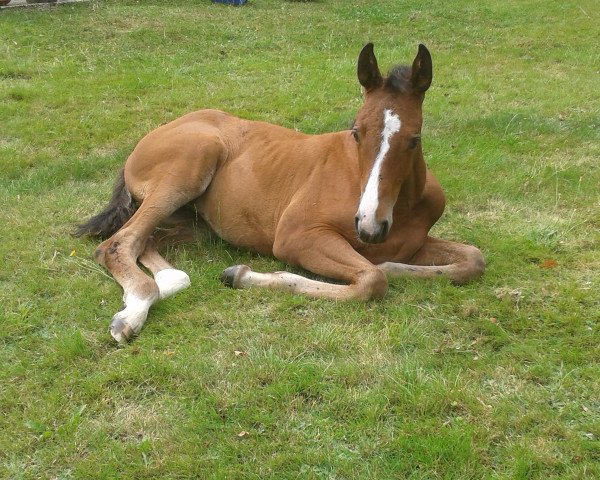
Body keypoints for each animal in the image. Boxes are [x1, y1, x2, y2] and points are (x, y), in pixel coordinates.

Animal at [77, 42, 486, 342]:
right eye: (356, 132)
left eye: (414, 139)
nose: (369, 227)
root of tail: (147, 138)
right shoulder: (296, 235)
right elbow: (372, 280)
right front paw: (241, 275)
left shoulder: (415, 243)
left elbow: (471, 260)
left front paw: (390, 263)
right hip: (191, 165)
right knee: (115, 244)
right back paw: (130, 316)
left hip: (193, 225)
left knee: (143, 242)